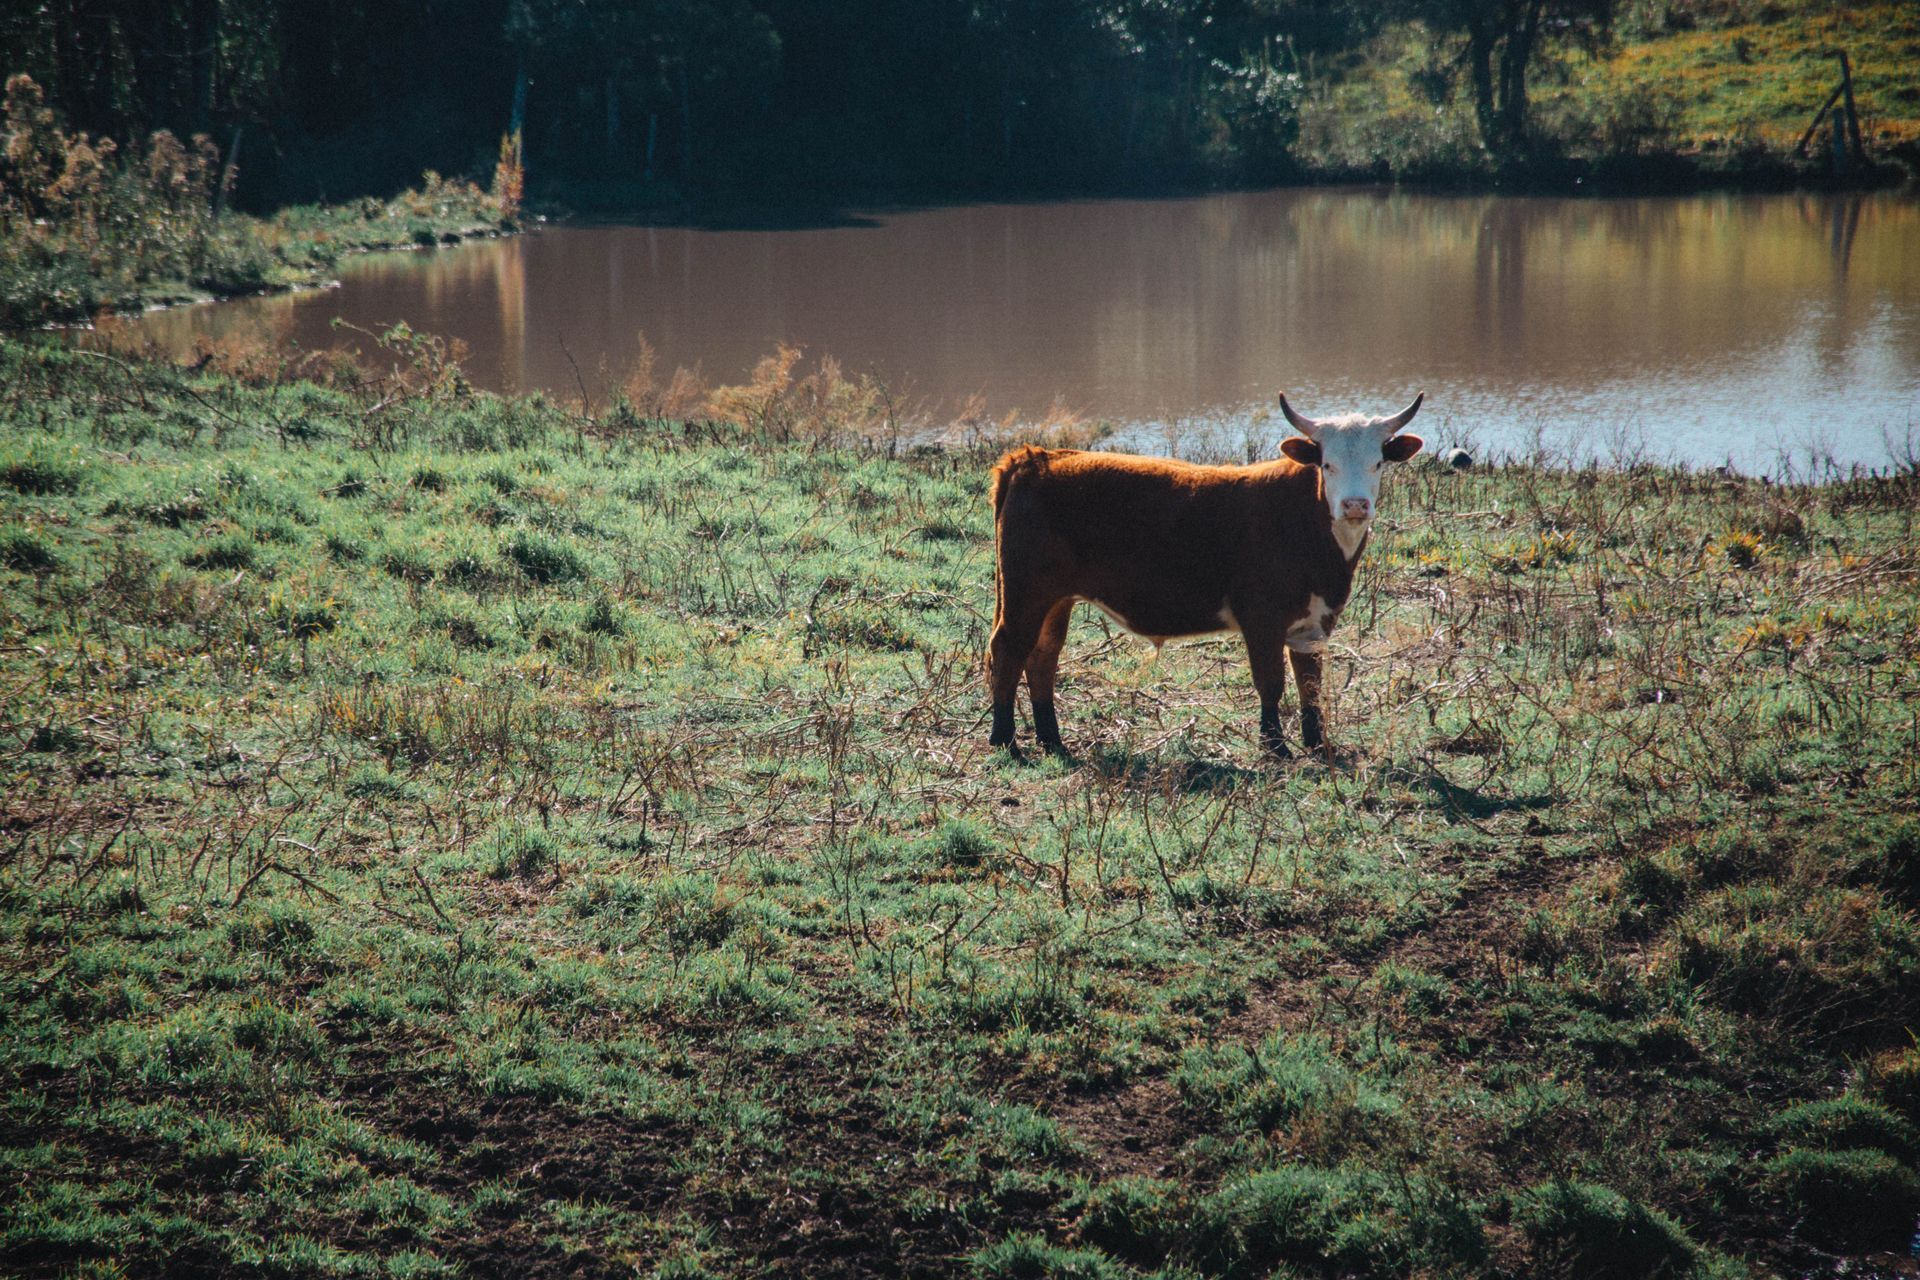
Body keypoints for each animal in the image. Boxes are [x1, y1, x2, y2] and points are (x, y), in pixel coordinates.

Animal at [986, 393, 1425, 761]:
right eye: (1327, 464)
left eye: (1377, 463)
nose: (1355, 505)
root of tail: (1034, 457)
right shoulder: (1262, 618)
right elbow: (1271, 682)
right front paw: (1275, 748)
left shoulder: (1314, 624)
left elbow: (1310, 686)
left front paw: (1318, 746)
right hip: (1026, 593)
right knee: (1009, 650)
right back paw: (1006, 741)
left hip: (1055, 599)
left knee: (1043, 657)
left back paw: (1052, 740)